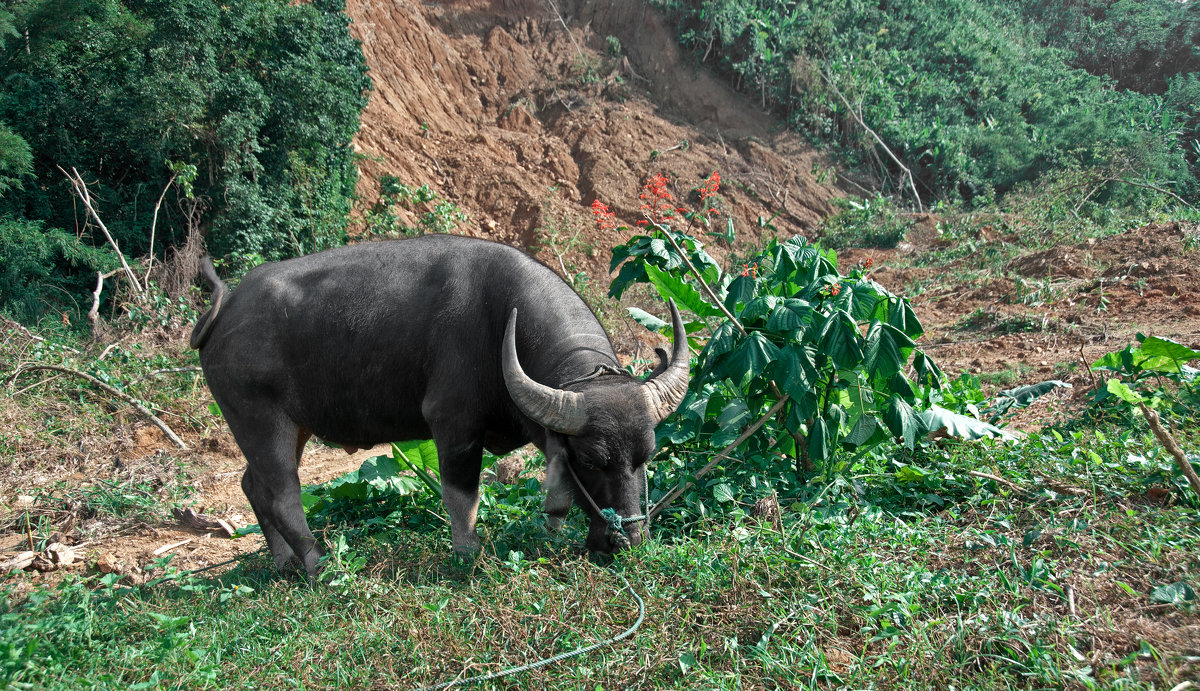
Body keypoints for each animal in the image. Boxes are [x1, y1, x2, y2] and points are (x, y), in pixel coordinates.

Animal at [192, 237, 691, 578]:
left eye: (646, 457)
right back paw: (317, 564)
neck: (499, 324)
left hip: (288, 427)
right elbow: (462, 497)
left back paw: (282, 562)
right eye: (590, 460)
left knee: (253, 485)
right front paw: (468, 555)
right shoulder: (453, 426)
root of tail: (225, 308)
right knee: (283, 494)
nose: (628, 541)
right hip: (261, 420)